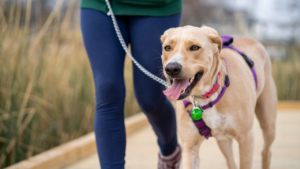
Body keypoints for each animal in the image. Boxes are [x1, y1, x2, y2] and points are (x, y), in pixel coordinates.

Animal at [161, 25, 278, 169]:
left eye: (194, 47)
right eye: (167, 48)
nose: (171, 69)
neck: (205, 97)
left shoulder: (246, 138)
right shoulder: (190, 146)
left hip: (268, 124)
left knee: (266, 151)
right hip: (223, 140)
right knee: (230, 161)